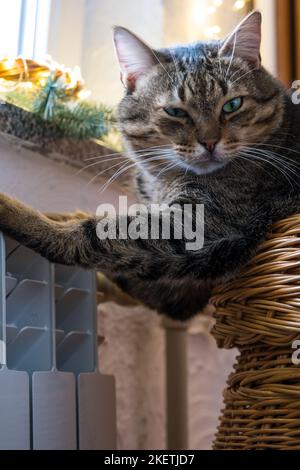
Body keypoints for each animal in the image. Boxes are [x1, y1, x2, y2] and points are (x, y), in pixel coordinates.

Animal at [0, 11, 300, 320]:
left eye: (233, 105)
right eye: (175, 111)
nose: (210, 141)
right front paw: (65, 216)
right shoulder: (180, 296)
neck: (161, 180)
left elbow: (92, 235)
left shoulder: (205, 226)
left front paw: (18, 211)